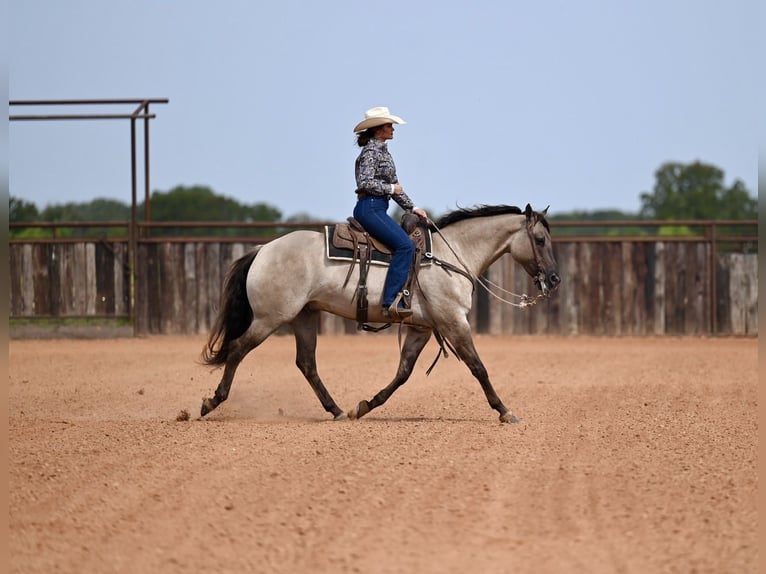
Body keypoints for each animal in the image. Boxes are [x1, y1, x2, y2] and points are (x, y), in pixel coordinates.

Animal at [200, 203, 560, 423]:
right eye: (540, 239)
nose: (555, 279)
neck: (449, 256)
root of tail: (263, 249)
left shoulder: (421, 329)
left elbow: (403, 373)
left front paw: (365, 406)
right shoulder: (454, 322)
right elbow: (478, 368)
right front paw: (505, 411)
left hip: (304, 317)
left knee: (306, 364)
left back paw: (337, 410)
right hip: (269, 319)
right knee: (237, 350)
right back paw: (211, 402)